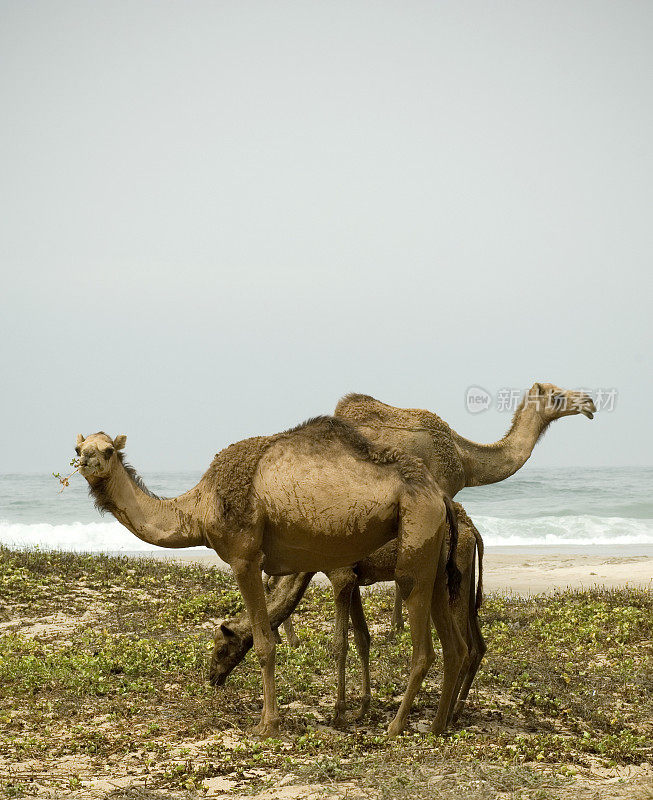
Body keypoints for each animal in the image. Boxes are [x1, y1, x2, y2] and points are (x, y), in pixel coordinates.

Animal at [210, 504, 484, 728]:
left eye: (221, 649)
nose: (212, 677)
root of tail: (473, 532)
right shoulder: (354, 581)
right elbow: (363, 639)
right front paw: (361, 709)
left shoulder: (341, 577)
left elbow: (339, 644)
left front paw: (339, 712)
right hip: (467, 581)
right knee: (477, 645)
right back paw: (455, 712)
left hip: (451, 581)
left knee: (462, 646)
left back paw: (443, 717)